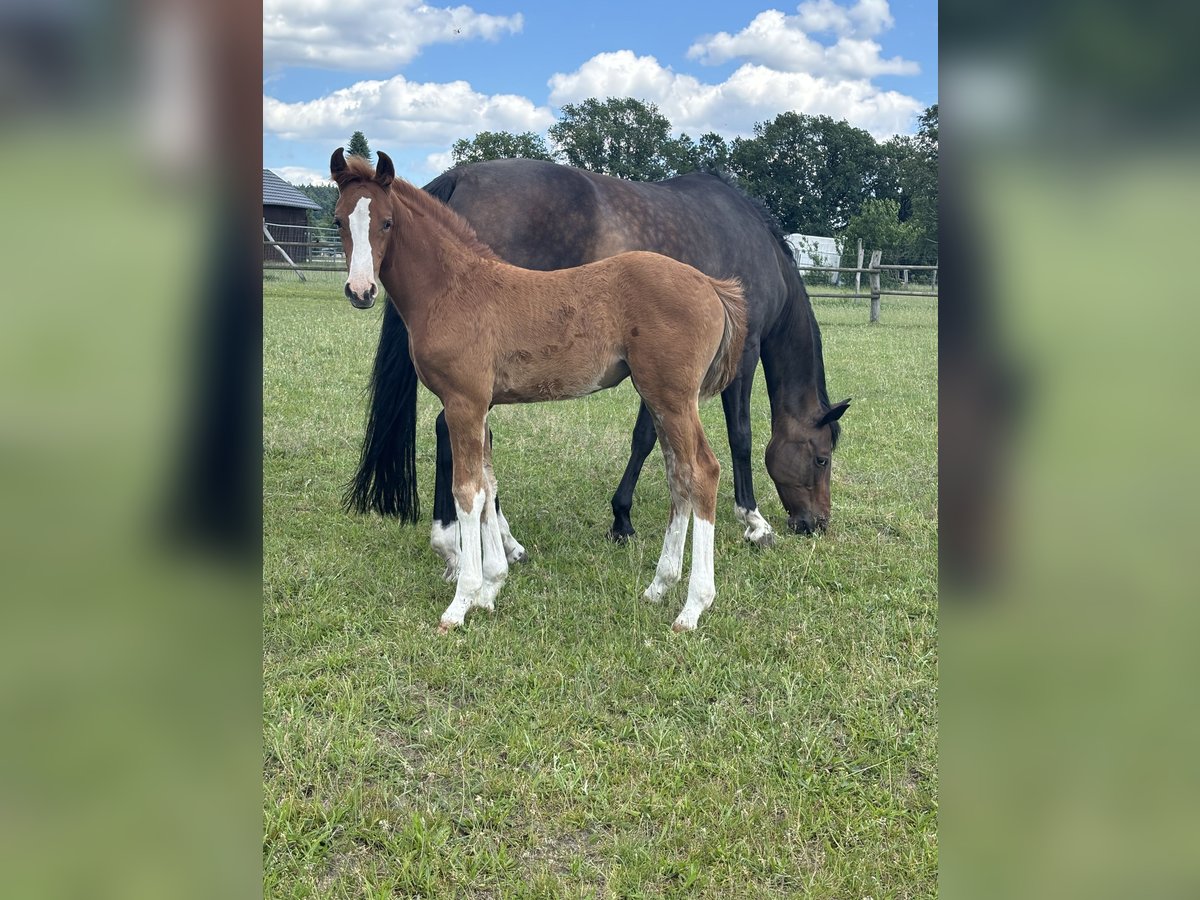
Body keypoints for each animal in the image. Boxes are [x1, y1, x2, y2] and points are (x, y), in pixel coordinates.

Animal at [333, 150, 744, 633]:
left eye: (387, 222)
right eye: (340, 220)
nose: (361, 291)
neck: (454, 289)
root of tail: (710, 286)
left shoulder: (463, 404)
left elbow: (467, 493)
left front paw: (461, 601)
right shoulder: (481, 407)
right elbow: (488, 486)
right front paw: (491, 587)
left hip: (674, 398)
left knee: (702, 472)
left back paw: (693, 606)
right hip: (661, 399)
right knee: (678, 476)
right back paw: (659, 587)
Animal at [345, 156, 854, 578]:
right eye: (822, 458)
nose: (816, 523)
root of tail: (459, 177)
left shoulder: (663, 374)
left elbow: (645, 439)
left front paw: (621, 517)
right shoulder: (743, 357)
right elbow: (741, 437)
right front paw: (753, 520)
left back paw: (500, 544)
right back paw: (467, 544)